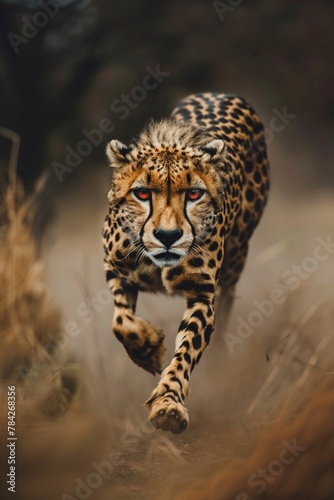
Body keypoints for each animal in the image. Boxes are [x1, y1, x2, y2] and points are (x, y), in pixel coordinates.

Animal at [102, 93, 268, 434]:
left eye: (193, 193)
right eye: (142, 193)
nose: (168, 236)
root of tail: (222, 93)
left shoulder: (201, 292)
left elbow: (186, 350)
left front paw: (168, 404)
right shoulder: (115, 268)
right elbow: (121, 322)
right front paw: (148, 350)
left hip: (237, 256)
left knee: (227, 301)